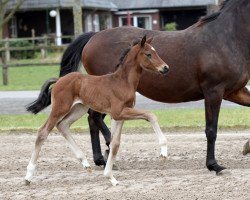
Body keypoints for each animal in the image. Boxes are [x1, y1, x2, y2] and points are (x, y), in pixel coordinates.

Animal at [24, 35, 170, 186]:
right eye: (148, 54)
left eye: (155, 52)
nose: (165, 68)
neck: (123, 82)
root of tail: (59, 80)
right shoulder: (119, 112)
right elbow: (150, 115)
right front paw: (163, 152)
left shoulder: (118, 116)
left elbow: (115, 144)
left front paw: (111, 177)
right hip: (60, 108)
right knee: (43, 132)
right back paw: (28, 176)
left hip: (79, 108)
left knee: (62, 125)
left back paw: (85, 163)